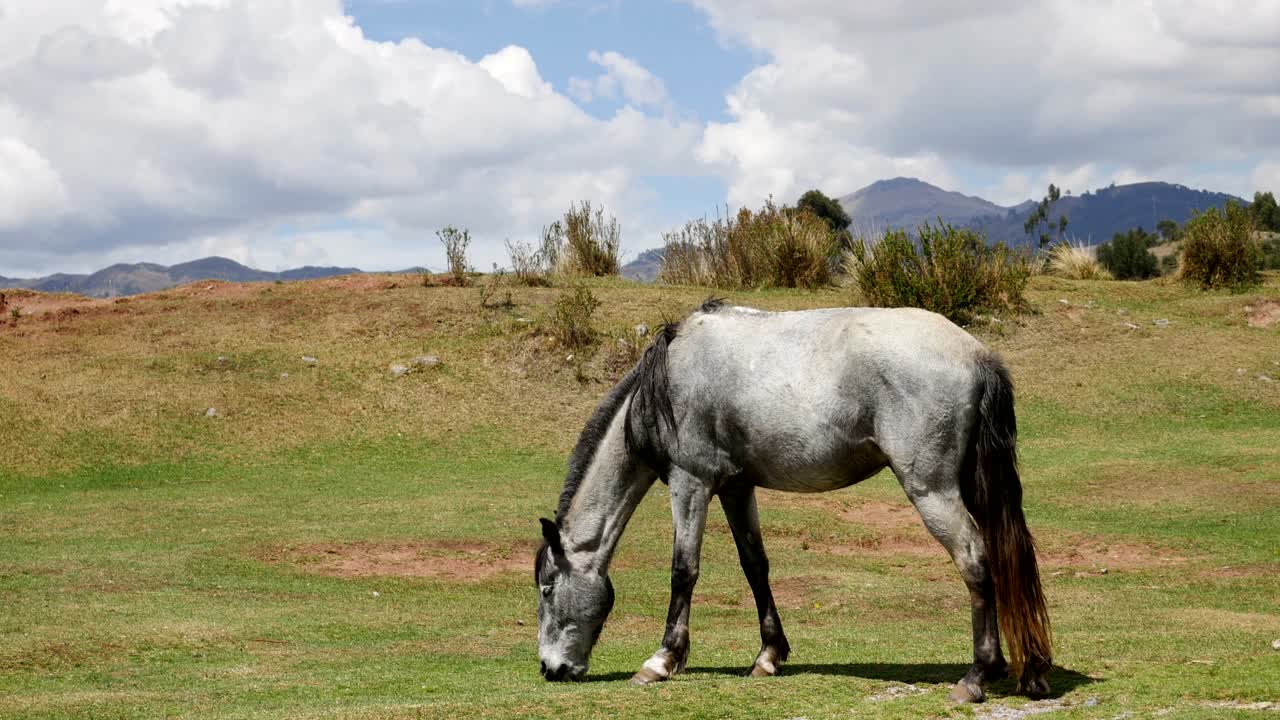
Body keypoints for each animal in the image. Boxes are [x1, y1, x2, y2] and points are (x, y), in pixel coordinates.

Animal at [533, 299, 1052, 703]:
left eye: (546, 588)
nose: (549, 669)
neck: (666, 381)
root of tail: (977, 353)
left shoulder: (691, 482)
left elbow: (684, 571)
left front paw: (662, 660)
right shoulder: (736, 488)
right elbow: (755, 566)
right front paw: (768, 655)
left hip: (932, 491)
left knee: (975, 561)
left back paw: (976, 676)